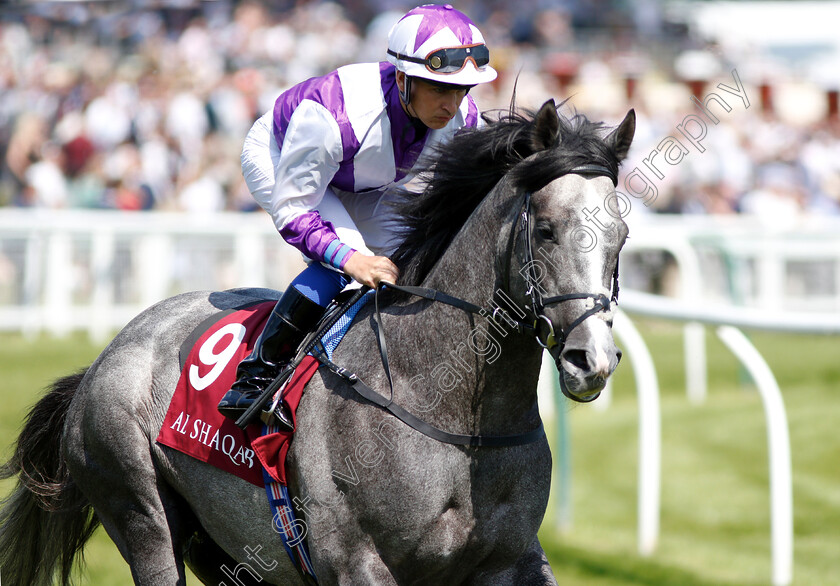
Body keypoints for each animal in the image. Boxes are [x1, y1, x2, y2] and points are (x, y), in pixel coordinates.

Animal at [0, 98, 632, 580]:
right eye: (545, 230)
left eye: (622, 234)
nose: (592, 360)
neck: (456, 415)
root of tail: (107, 355)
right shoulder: (357, 562)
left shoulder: (510, 559)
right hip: (142, 513)